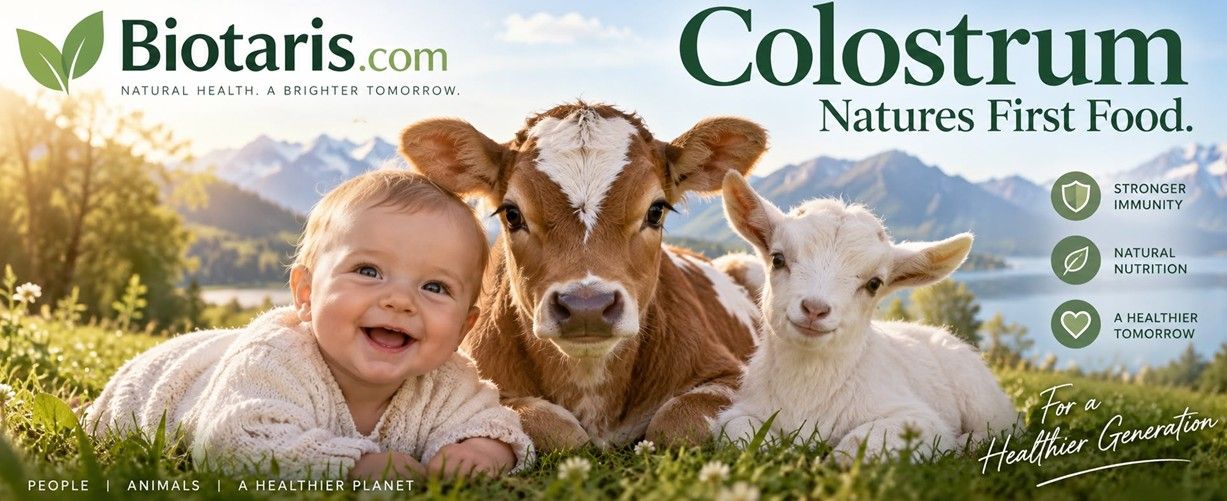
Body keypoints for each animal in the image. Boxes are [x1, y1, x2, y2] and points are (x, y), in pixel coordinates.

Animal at [399, 102, 767, 451]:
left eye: (656, 210)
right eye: (512, 213)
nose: (586, 307)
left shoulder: (732, 376)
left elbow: (675, 421)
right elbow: (554, 428)